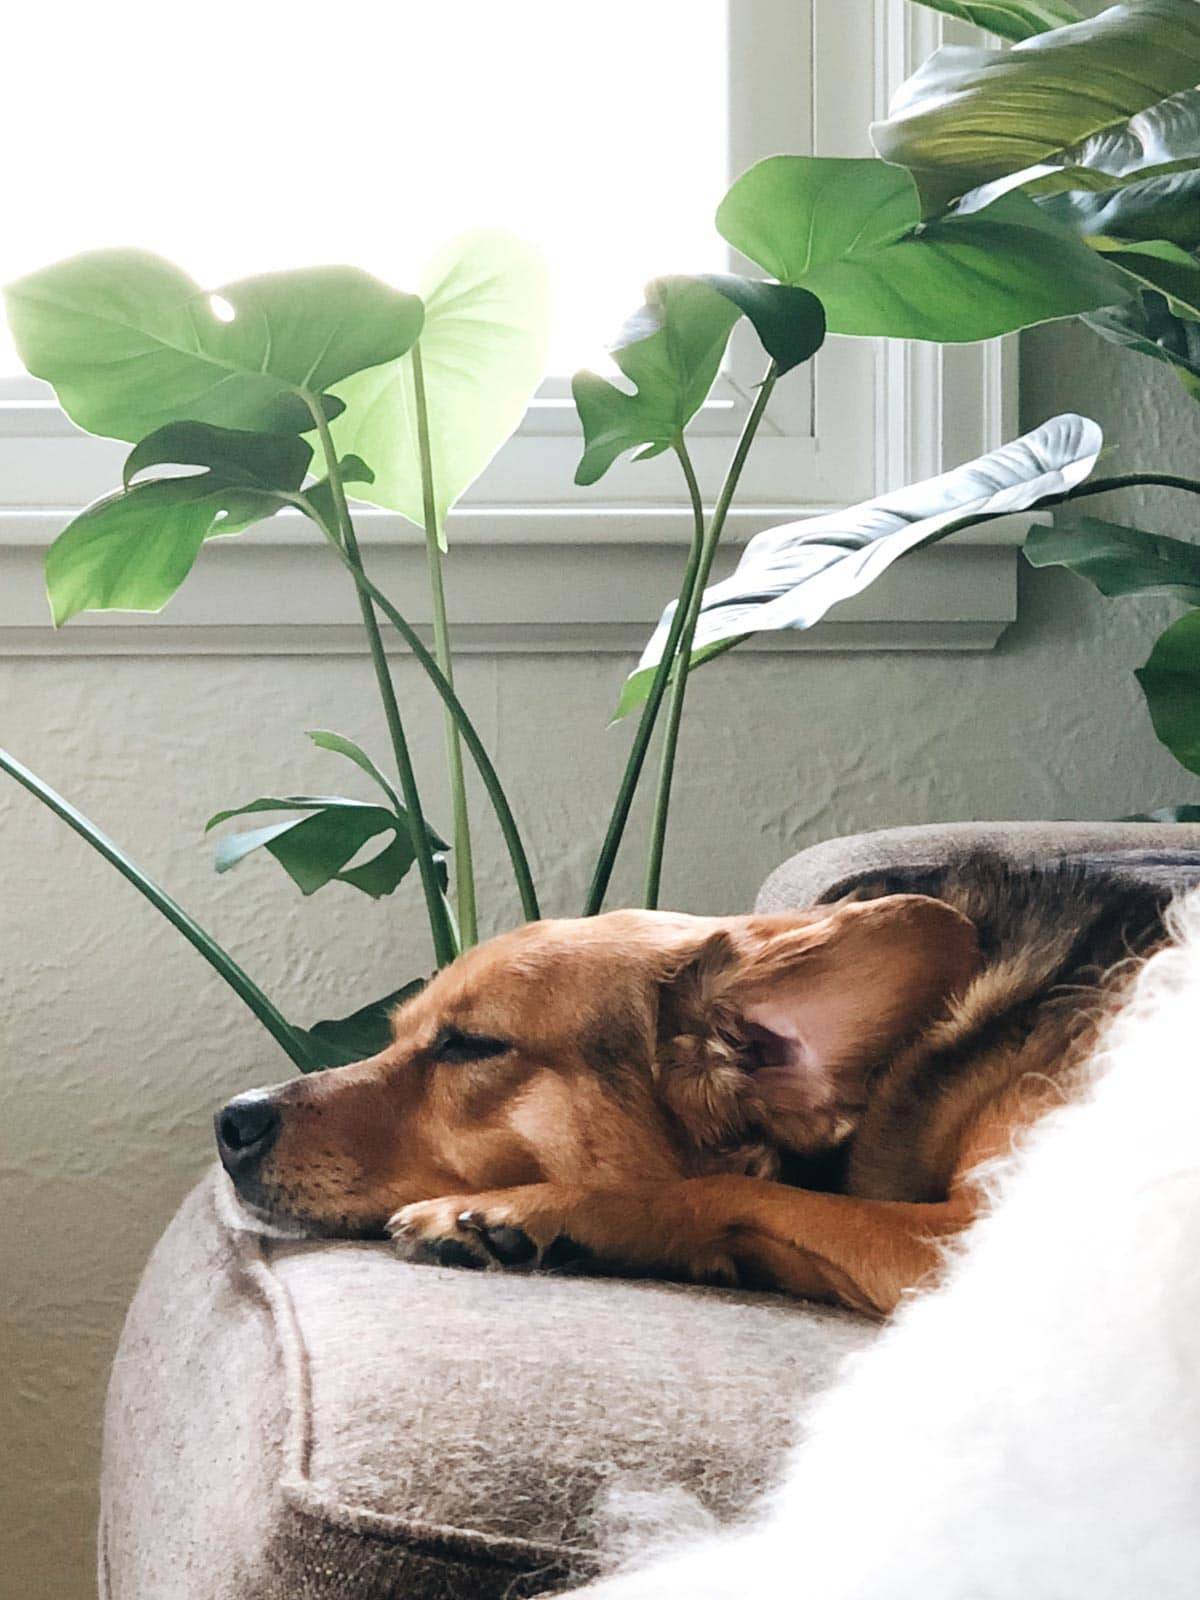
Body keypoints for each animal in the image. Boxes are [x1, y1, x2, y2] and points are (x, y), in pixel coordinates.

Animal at [211, 857, 1171, 1318]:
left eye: (471, 1046)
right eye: (401, 1032)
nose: (230, 1122)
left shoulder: (978, 1237)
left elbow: (736, 1194)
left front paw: (533, 1213)